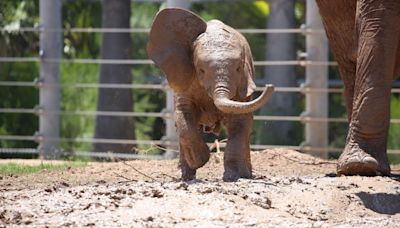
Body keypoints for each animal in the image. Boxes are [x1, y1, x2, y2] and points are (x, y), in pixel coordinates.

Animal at [147, 8, 276, 182]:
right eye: (201, 70)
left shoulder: (243, 84)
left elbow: (240, 121)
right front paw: (200, 160)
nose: (270, 86)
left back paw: (246, 174)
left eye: (238, 68)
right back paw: (186, 176)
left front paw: (234, 176)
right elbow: (184, 115)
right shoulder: (185, 78)